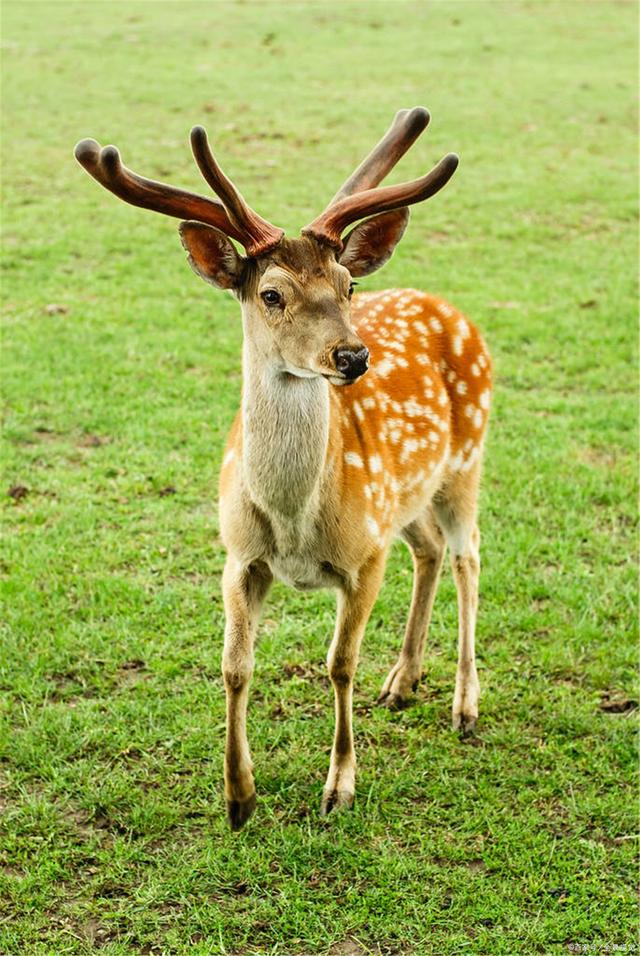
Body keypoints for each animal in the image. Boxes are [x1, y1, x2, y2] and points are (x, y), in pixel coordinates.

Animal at [74, 107, 492, 830]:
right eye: (271, 294)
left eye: (349, 286)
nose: (352, 356)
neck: (295, 521)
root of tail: (454, 312)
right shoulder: (239, 555)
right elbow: (234, 666)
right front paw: (238, 796)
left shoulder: (364, 556)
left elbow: (339, 664)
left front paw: (340, 786)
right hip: (405, 500)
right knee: (431, 550)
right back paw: (402, 681)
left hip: (467, 458)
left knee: (467, 557)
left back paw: (463, 705)